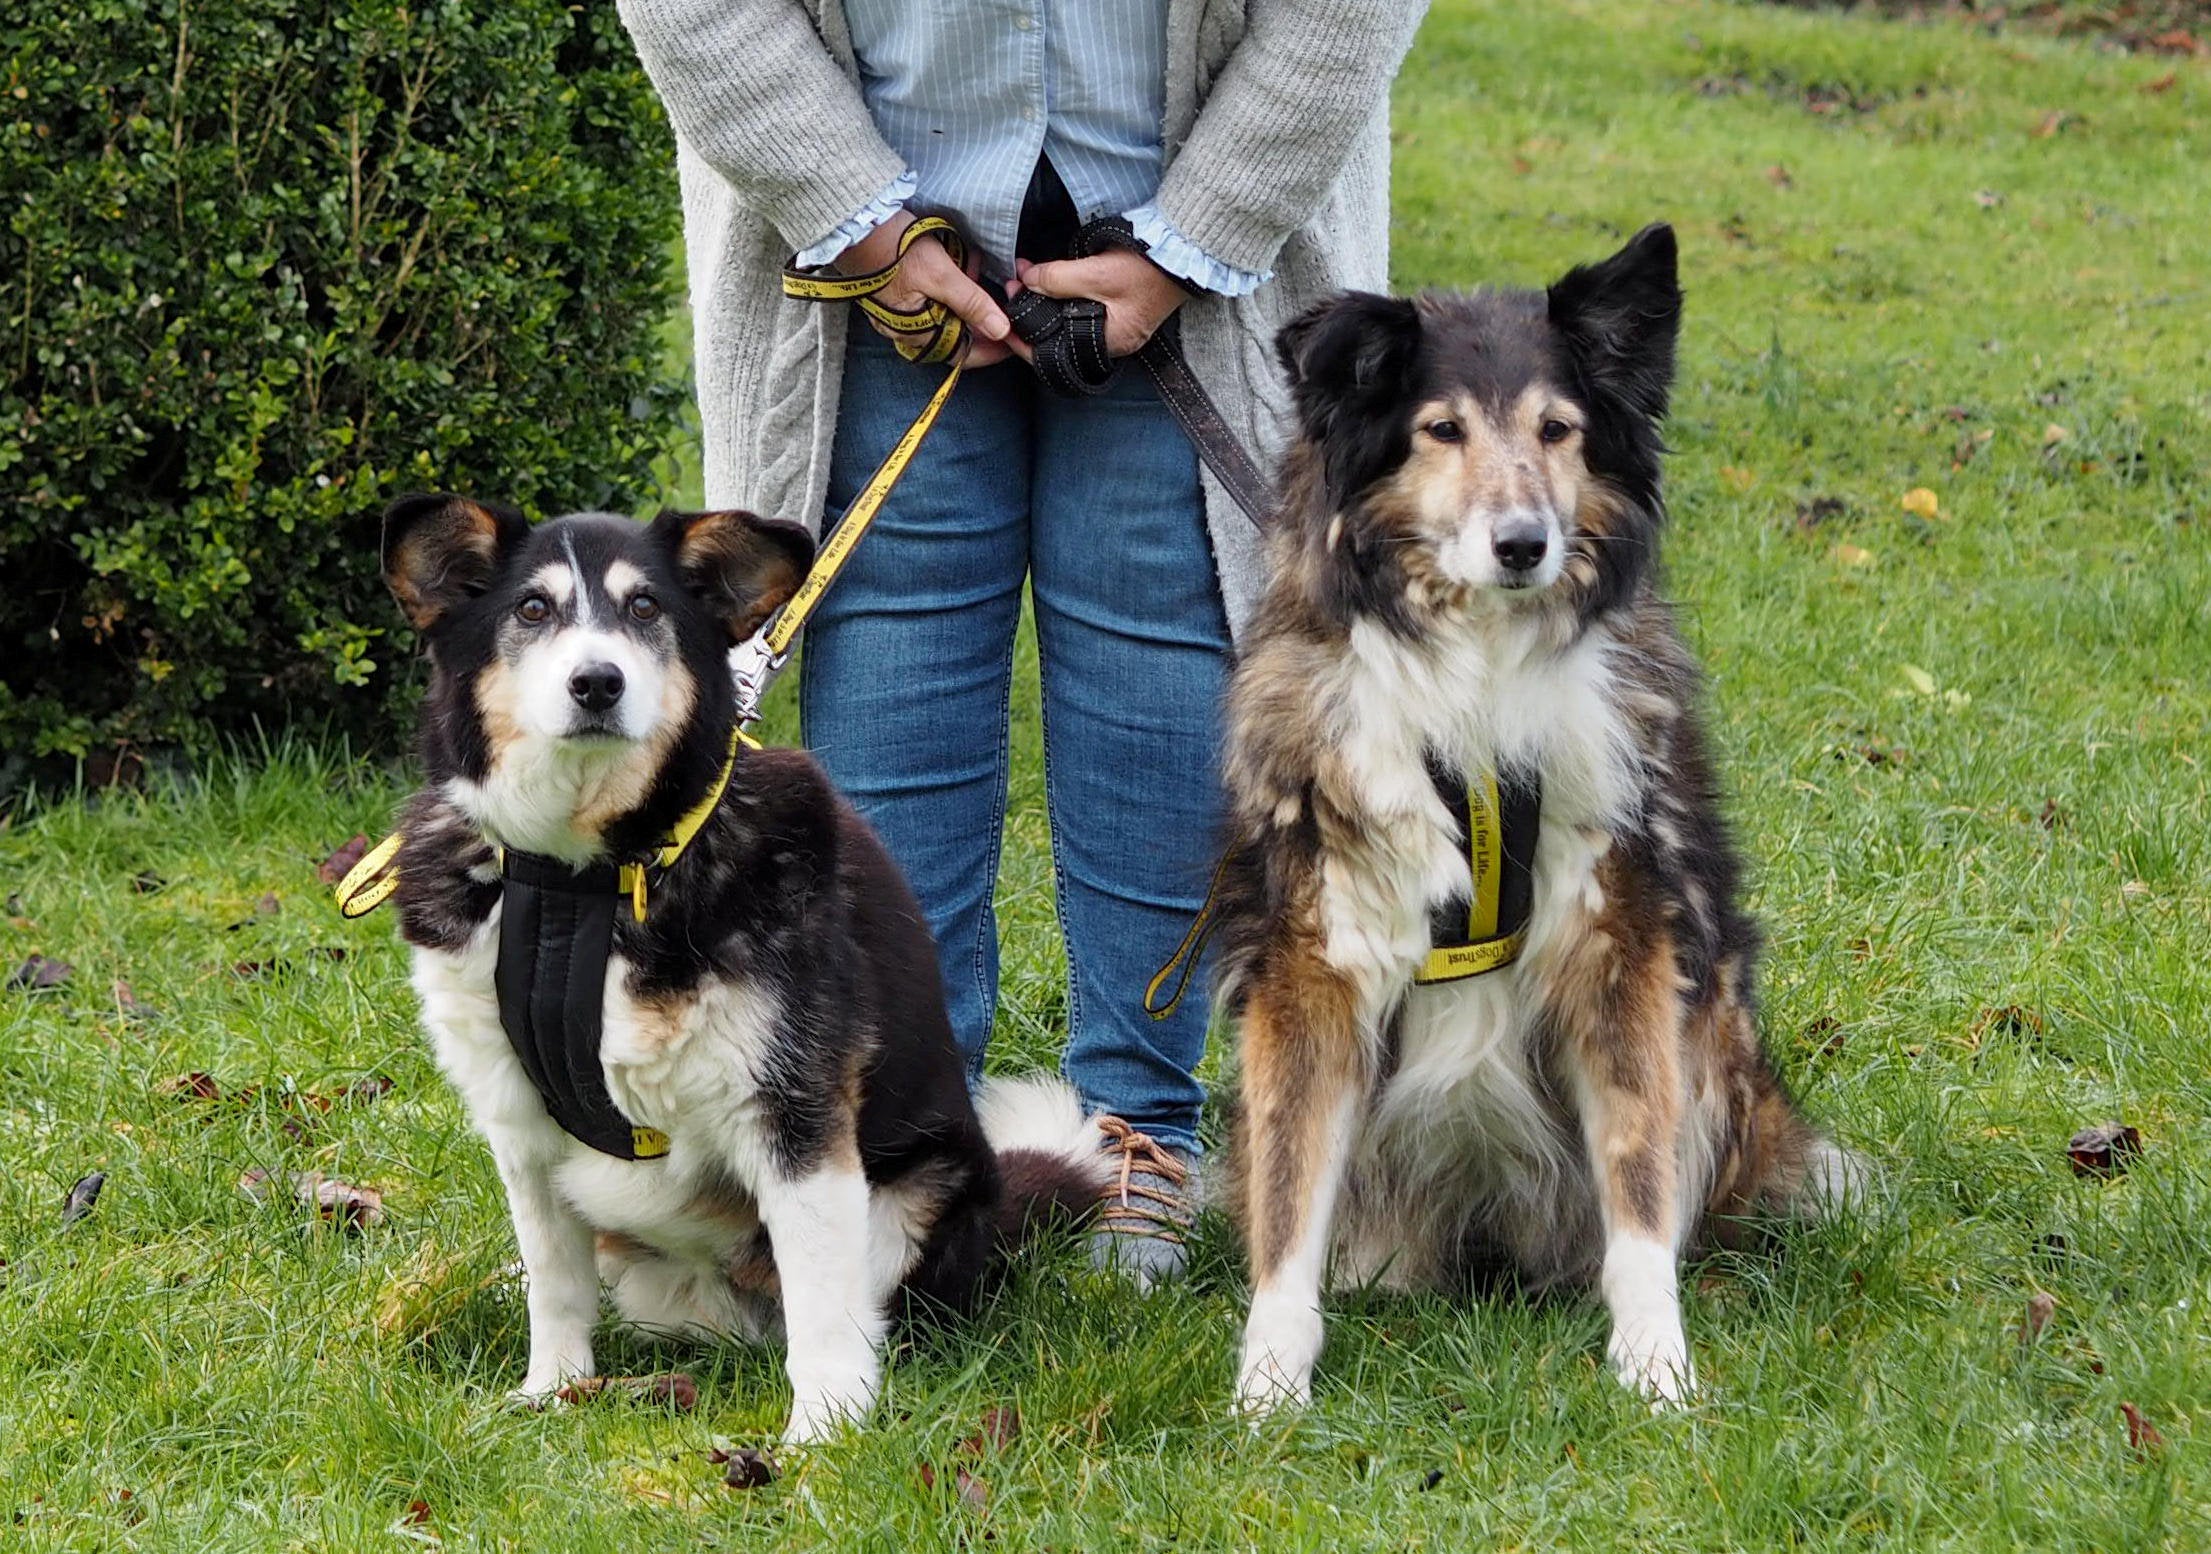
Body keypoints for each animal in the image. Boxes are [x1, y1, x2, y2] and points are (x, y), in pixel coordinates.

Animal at [378, 492, 1114, 1441]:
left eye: (645, 607)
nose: (597, 683)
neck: (589, 880)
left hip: (919, 1194)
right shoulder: (519, 1122)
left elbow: (824, 1308)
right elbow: (555, 1282)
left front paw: (824, 1434)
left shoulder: (794, 1110)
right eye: (531, 609)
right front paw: (554, 1390)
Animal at [1220, 225, 1857, 1414]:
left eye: (1558, 430)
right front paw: (1268, 1385)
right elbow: (1286, 1194)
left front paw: (1655, 1364)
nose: (1524, 544)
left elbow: (1639, 1179)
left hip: (1718, 1037)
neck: (1476, 675)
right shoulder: (1318, 949)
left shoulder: (1621, 934)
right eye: (1442, 431)